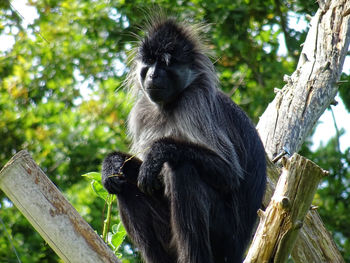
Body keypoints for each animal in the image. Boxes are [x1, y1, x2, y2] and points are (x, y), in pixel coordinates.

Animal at [101, 16, 266, 263]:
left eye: (165, 64)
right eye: (149, 63)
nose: (153, 75)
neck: (168, 106)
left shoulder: (194, 102)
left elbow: (229, 174)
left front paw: (159, 152)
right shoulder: (142, 111)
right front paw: (111, 163)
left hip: (224, 237)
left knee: (182, 168)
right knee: (125, 183)